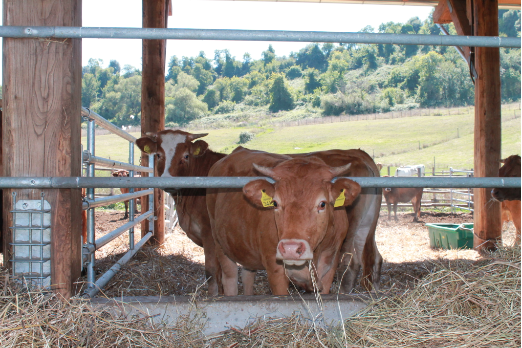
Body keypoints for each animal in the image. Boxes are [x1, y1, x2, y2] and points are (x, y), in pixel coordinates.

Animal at [135, 130, 224, 296]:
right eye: (158, 155)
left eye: (186, 156)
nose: (168, 181)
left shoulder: (209, 233)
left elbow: (211, 270)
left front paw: (213, 296)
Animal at [205, 147, 360, 296]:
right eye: (275, 203)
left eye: (322, 204)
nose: (291, 249)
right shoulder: (275, 268)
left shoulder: (330, 266)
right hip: (220, 244)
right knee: (229, 279)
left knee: (247, 275)